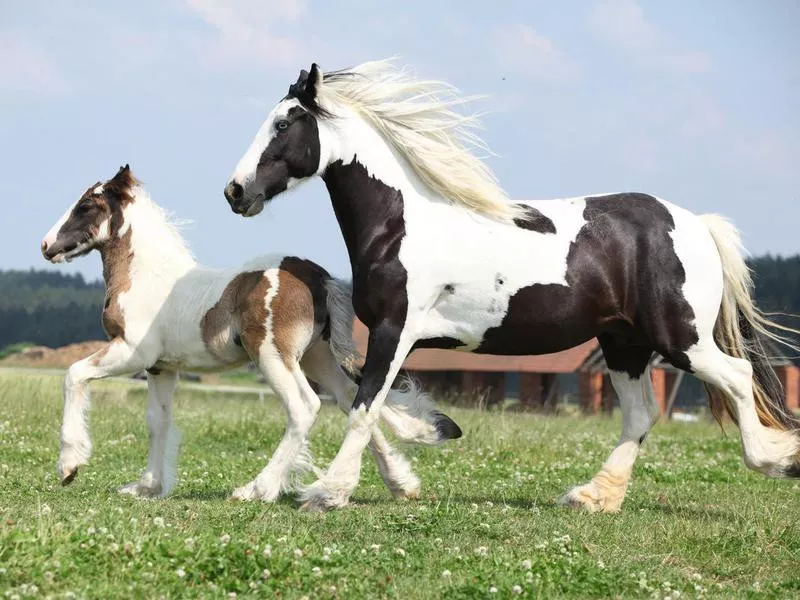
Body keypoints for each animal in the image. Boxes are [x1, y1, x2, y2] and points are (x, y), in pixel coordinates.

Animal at [42, 164, 456, 502]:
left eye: (85, 206)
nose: (46, 245)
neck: (148, 277)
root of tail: (318, 276)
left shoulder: (131, 352)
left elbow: (74, 375)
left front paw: (70, 465)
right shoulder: (162, 368)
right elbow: (157, 422)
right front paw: (147, 486)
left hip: (272, 355)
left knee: (305, 407)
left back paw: (257, 489)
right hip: (316, 357)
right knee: (353, 399)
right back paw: (399, 484)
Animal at [223, 59, 800, 510]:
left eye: (283, 123)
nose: (235, 191)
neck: (399, 224)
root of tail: (696, 223)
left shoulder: (394, 331)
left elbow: (364, 406)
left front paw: (329, 492)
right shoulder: (391, 338)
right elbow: (367, 401)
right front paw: (429, 433)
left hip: (680, 338)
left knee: (739, 377)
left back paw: (777, 459)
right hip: (624, 343)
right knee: (641, 413)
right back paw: (593, 496)